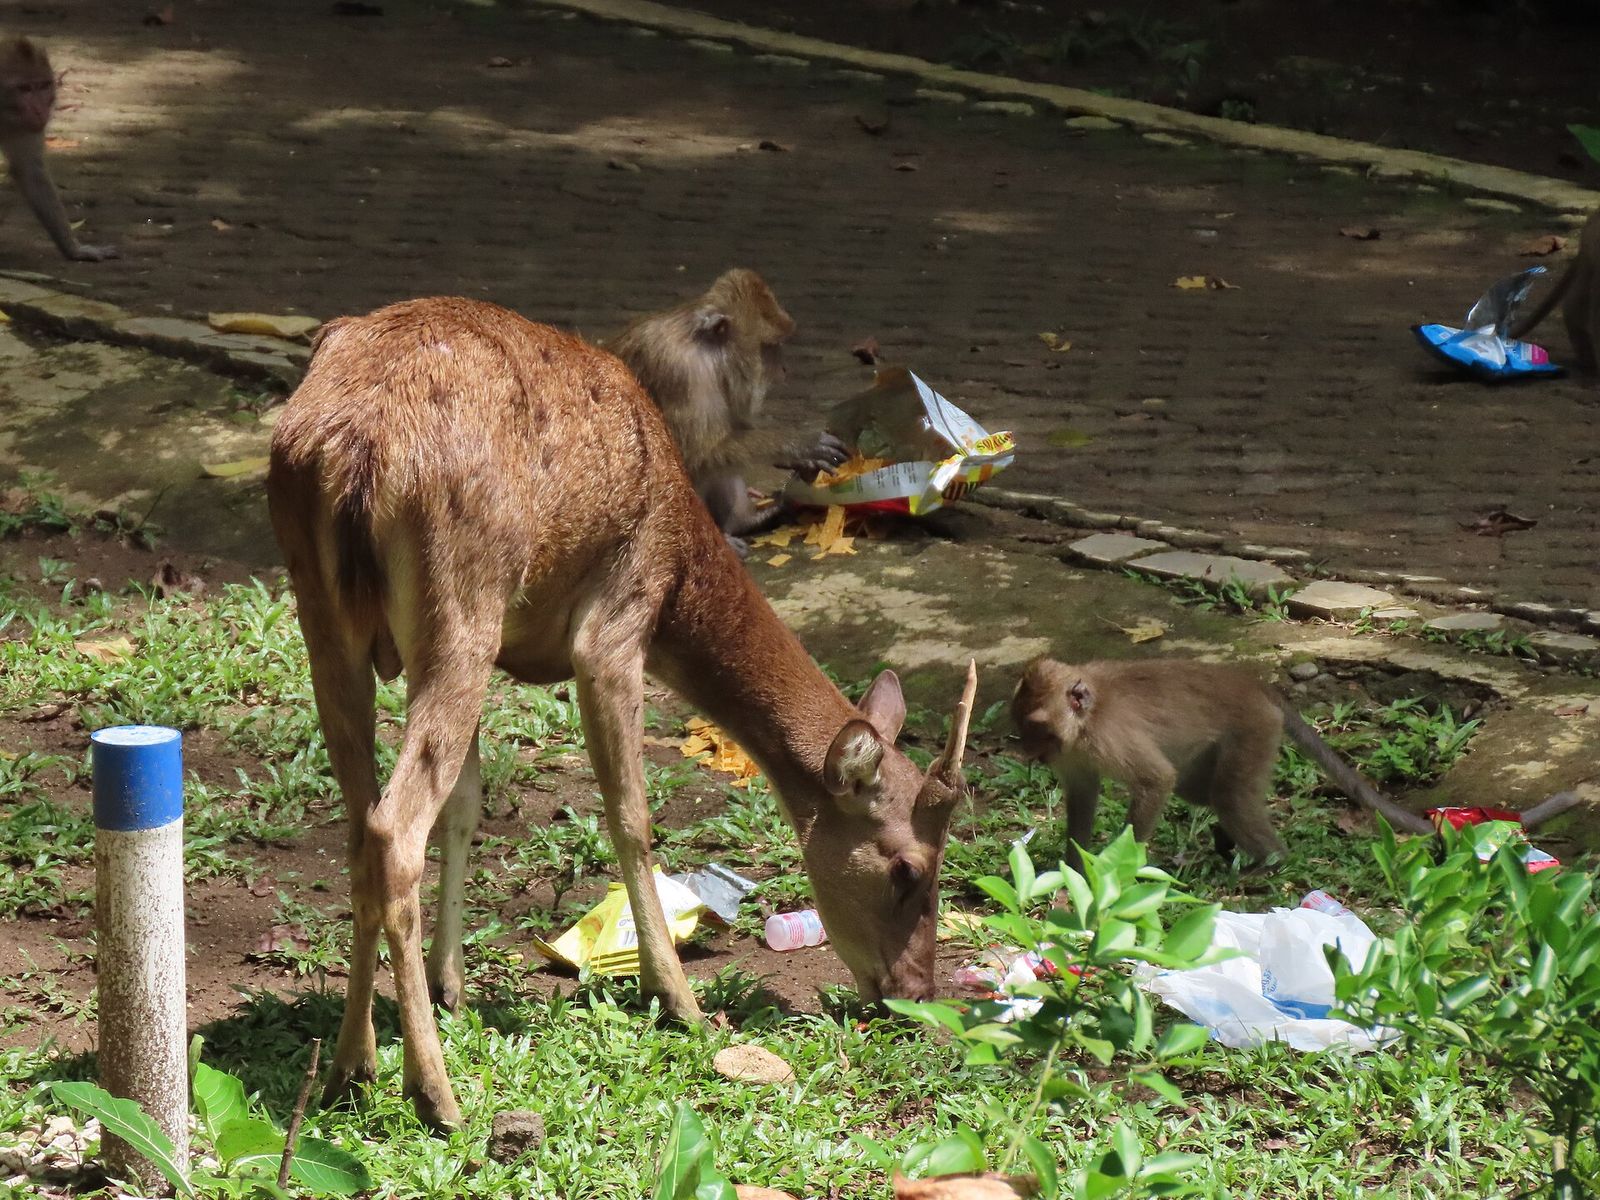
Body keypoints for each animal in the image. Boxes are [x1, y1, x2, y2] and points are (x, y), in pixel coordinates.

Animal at [265, 296, 977, 1131]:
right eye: (907, 869)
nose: (914, 993)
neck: (679, 571)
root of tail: (355, 452)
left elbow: (467, 805)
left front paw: (453, 986)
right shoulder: (613, 627)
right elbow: (632, 816)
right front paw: (680, 1001)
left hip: (331, 617)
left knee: (359, 825)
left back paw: (354, 1063)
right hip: (462, 602)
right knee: (390, 829)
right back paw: (435, 1095)